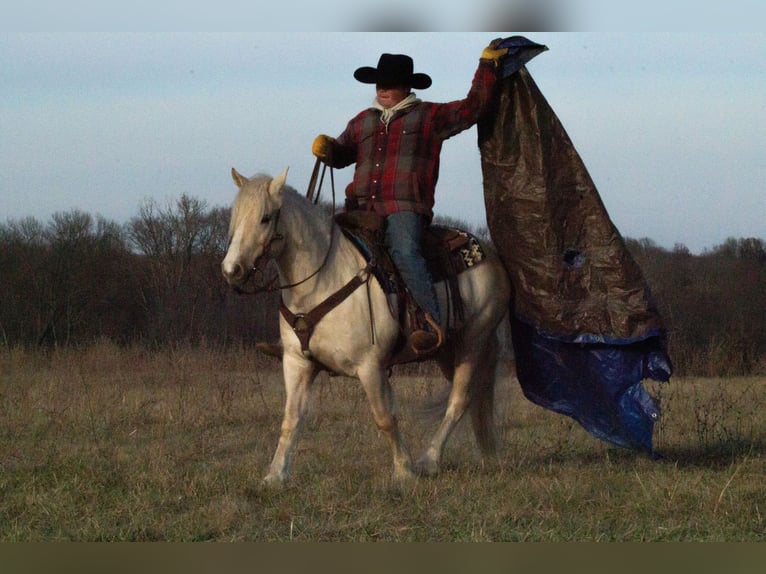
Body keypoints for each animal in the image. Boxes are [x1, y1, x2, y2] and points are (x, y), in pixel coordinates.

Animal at [220, 166, 510, 486]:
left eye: (266, 217)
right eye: (235, 216)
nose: (231, 270)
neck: (321, 279)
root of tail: (490, 255)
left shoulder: (370, 366)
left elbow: (385, 417)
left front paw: (404, 471)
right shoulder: (297, 363)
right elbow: (291, 419)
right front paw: (275, 474)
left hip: (474, 340)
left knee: (460, 399)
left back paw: (429, 460)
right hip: (447, 351)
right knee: (474, 399)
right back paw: (486, 455)